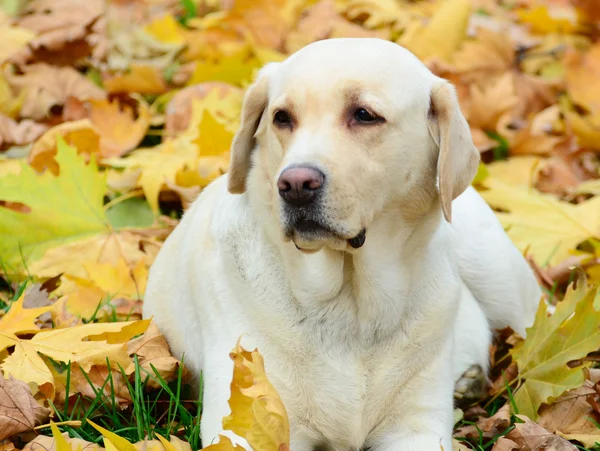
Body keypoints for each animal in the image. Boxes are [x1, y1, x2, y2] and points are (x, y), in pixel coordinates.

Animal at [143, 38, 540, 451]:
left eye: (364, 115)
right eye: (281, 117)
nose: (295, 185)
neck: (352, 310)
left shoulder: (417, 426)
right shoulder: (246, 424)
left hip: (502, 283)